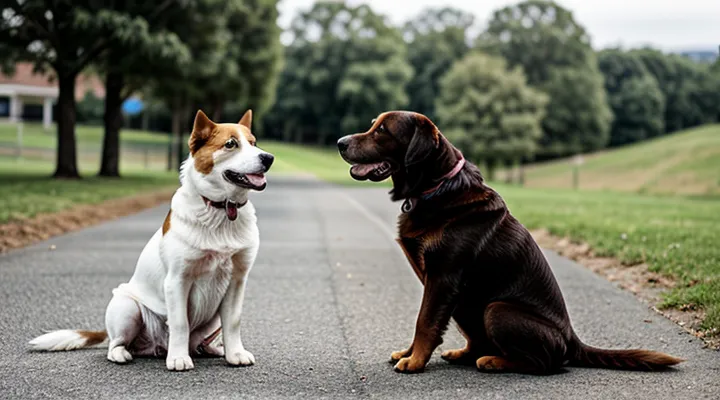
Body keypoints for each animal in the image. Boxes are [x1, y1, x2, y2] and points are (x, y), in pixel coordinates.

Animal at [27, 110, 270, 372]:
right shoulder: (177, 280)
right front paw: (178, 358)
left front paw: (235, 354)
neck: (221, 210)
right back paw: (124, 353)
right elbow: (180, 323)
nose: (269, 158)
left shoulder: (236, 281)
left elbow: (233, 322)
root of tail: (157, 346)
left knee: (199, 343)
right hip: (127, 307)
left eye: (254, 142)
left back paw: (212, 349)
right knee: (117, 343)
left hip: (210, 320)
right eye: (231, 144)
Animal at [334, 111, 684, 374]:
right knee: (479, 338)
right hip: (467, 304)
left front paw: (415, 361)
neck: (438, 187)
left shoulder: (443, 277)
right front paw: (409, 354)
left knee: (547, 364)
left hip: (497, 309)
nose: (340, 142)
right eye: (373, 125)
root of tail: (572, 340)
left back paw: (494, 361)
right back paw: (467, 354)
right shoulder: (439, 284)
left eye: (382, 131)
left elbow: (425, 321)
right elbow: (426, 321)